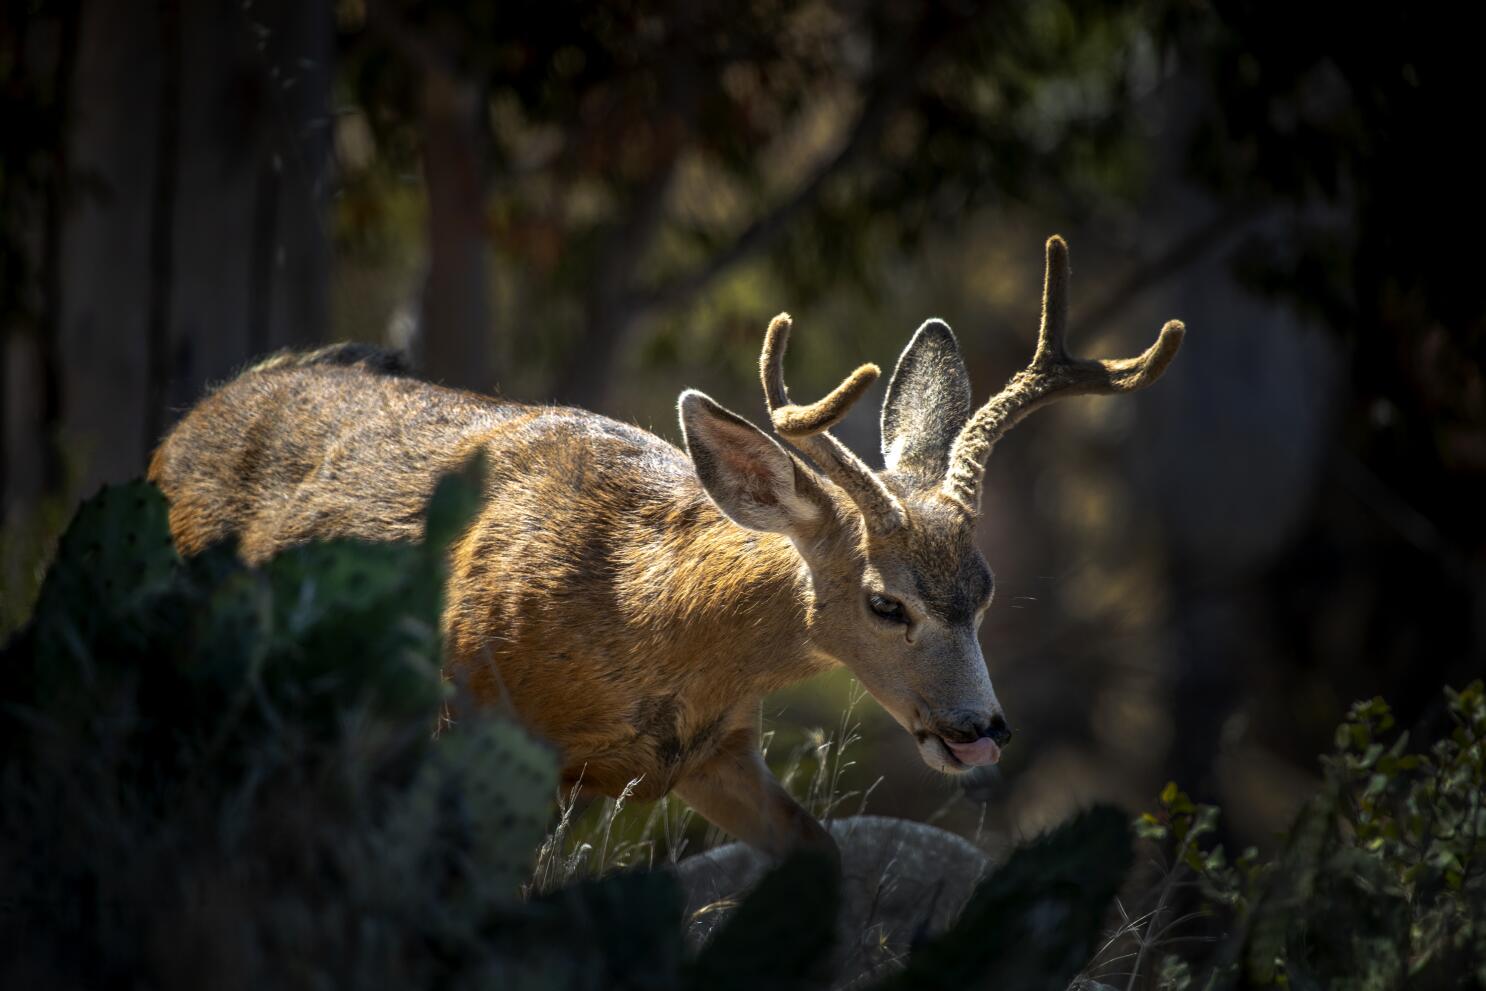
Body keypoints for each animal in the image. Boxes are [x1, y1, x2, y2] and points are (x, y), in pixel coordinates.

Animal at [147, 236, 1182, 855]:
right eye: (886, 600)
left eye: (986, 588)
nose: (979, 729)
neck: (640, 610)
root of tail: (175, 431)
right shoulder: (475, 723)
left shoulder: (717, 753)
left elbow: (819, 852)